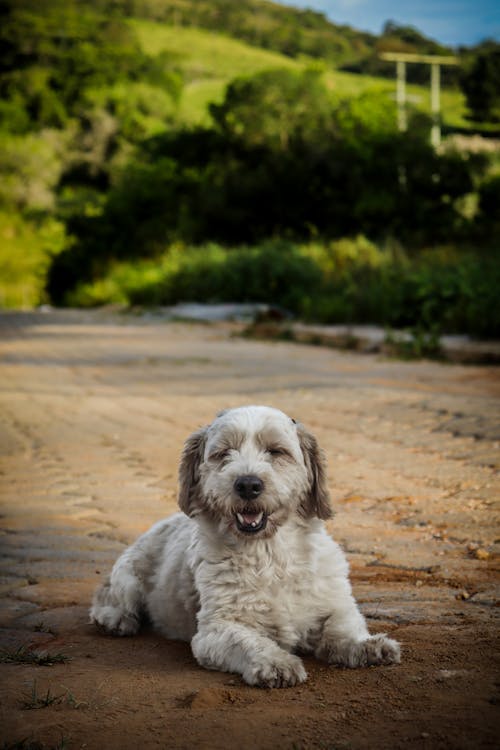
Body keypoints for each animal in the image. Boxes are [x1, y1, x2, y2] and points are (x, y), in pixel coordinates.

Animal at [90, 406, 400, 688]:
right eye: (224, 453)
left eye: (276, 451)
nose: (248, 484)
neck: (271, 554)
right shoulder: (216, 630)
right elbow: (249, 641)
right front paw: (276, 662)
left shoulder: (337, 604)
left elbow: (343, 626)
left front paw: (367, 645)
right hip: (128, 577)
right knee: (110, 597)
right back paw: (114, 618)